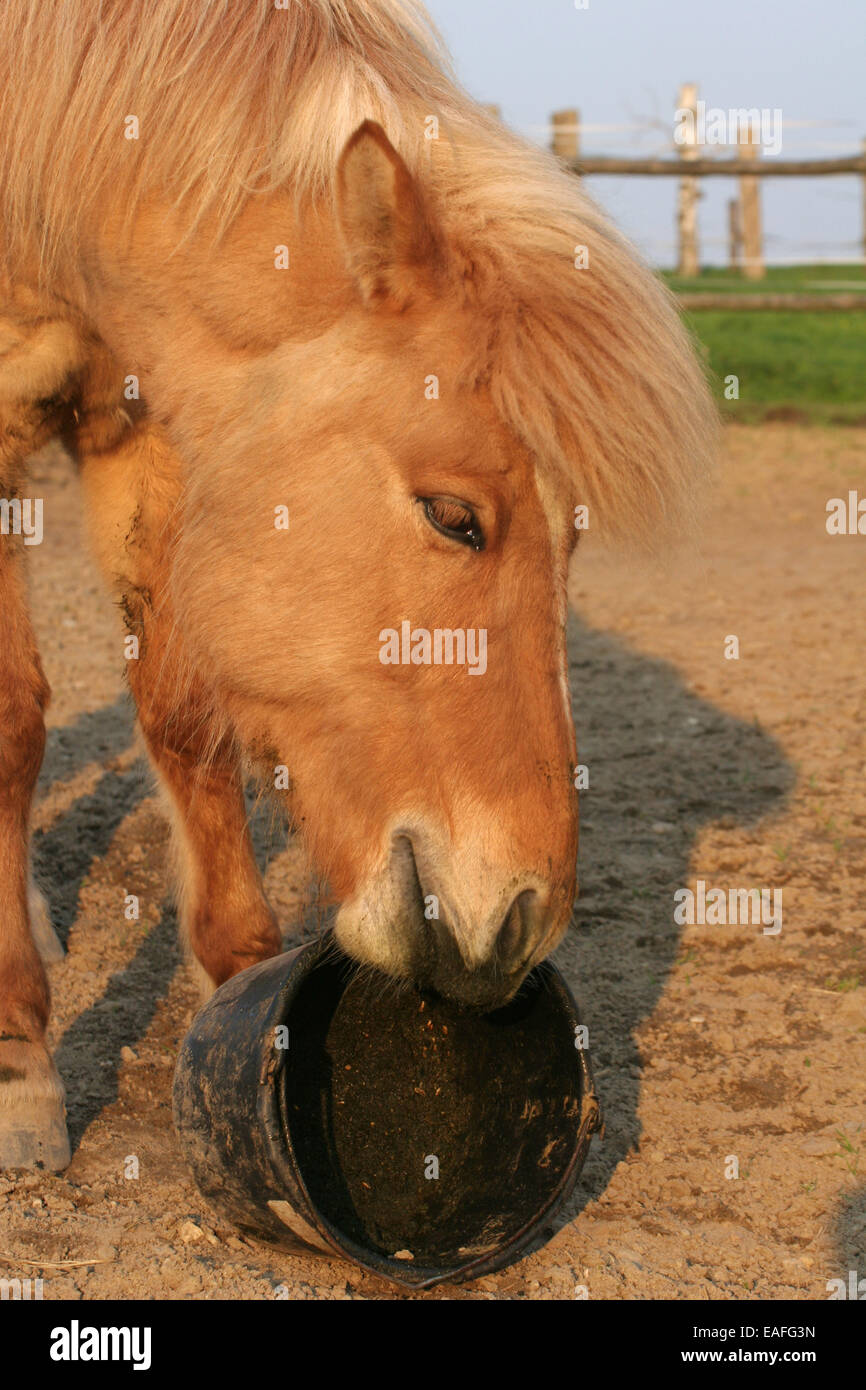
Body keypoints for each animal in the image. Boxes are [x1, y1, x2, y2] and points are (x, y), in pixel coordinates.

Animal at [0, 0, 716, 1170]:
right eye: (453, 516)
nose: (520, 921)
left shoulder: (144, 427)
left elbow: (186, 716)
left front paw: (238, 981)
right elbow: (17, 723)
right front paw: (20, 1059)